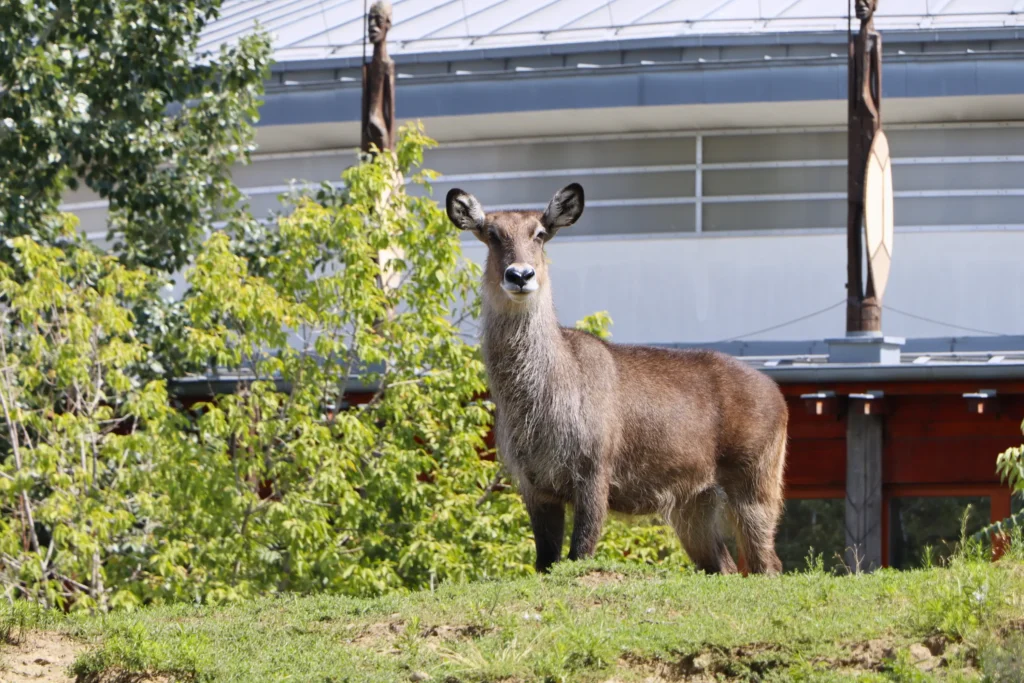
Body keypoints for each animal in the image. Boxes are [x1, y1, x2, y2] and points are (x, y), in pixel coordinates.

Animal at [444, 184, 786, 573]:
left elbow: (581, 552)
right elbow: (545, 560)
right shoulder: (535, 484)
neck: (539, 401)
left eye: (540, 233)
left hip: (755, 486)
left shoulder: (594, 472)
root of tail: (778, 395)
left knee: (768, 564)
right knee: (725, 566)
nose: (520, 275)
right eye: (491, 234)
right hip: (693, 504)